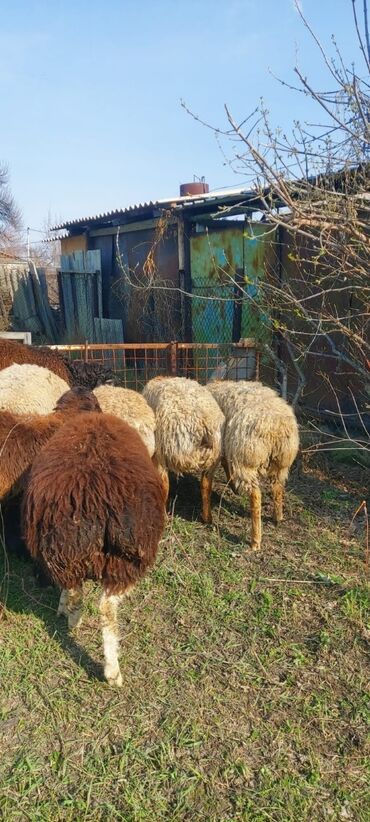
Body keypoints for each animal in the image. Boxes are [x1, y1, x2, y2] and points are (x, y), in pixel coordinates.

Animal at [22, 416, 166, 684]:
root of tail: (95, 499)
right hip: (125, 562)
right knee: (105, 607)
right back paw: (110, 668)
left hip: (63, 553)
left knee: (75, 589)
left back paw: (72, 619)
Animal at [142, 376, 224, 524]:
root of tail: (203, 422)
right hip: (214, 457)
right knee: (206, 484)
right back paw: (207, 517)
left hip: (163, 451)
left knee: (164, 484)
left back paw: (163, 515)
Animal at [207, 382, 300, 552]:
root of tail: (275, 427)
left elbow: (225, 464)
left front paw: (233, 486)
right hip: (281, 463)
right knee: (277, 488)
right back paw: (277, 517)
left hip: (247, 460)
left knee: (256, 496)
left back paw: (255, 540)